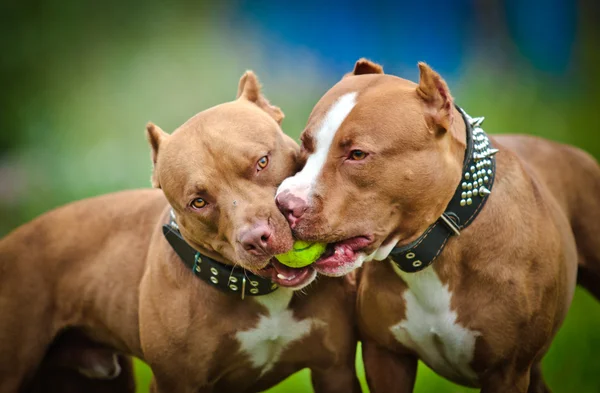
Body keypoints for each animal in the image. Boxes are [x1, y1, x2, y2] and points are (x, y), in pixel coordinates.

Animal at [1, 71, 360, 392]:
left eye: (262, 162)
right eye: (198, 202)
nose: (257, 238)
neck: (265, 295)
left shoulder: (335, 371)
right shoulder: (176, 382)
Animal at [276, 59, 600, 392]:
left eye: (357, 154)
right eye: (305, 145)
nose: (284, 205)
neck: (438, 248)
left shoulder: (507, 372)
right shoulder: (386, 358)